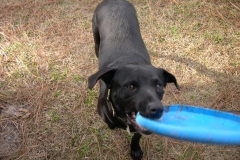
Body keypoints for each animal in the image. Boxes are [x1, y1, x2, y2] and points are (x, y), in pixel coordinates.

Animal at [88, 0, 178, 159]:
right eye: (130, 87)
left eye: (159, 86)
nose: (158, 110)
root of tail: (113, 1)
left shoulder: (139, 129)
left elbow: (137, 136)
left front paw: (135, 149)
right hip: (96, 38)